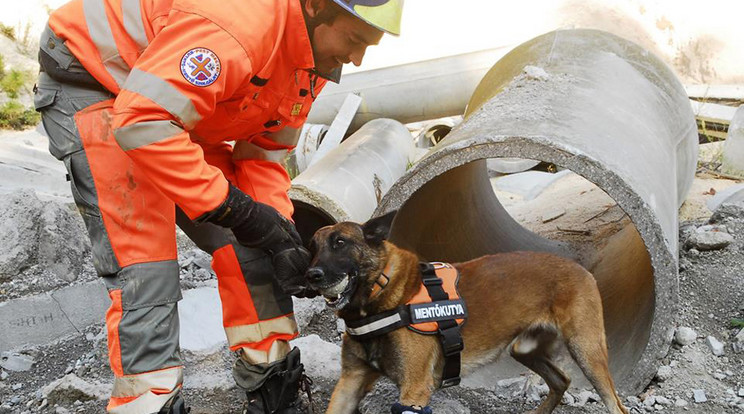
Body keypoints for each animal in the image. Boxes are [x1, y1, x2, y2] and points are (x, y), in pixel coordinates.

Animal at [306, 213, 632, 414]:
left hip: (586, 351)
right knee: (561, 380)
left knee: (615, 405)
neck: (378, 296)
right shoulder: (350, 383)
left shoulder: (414, 390)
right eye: (313, 248)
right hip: (523, 349)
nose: (312, 275)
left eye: (340, 243)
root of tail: (581, 269)